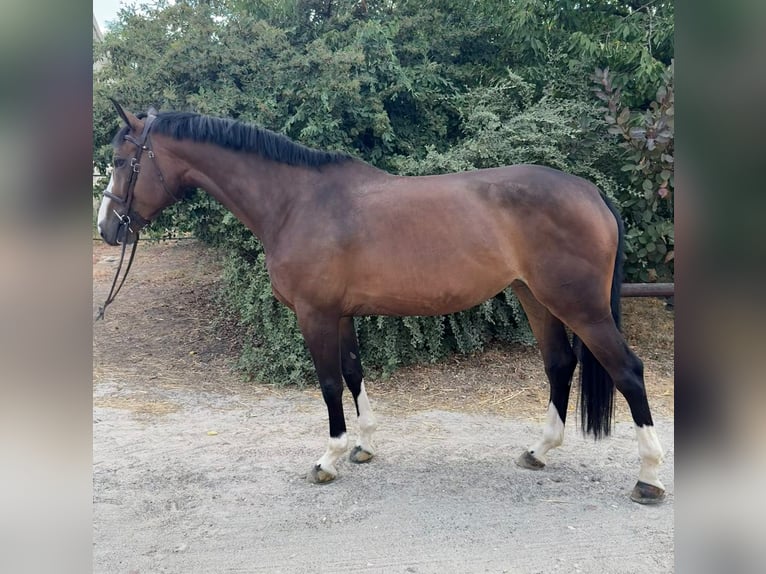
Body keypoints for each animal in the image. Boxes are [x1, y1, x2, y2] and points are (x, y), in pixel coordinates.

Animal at [97, 101, 665, 504]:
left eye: (123, 162)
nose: (107, 229)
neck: (296, 203)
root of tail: (591, 193)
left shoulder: (315, 314)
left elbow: (328, 383)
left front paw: (329, 458)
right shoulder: (341, 314)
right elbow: (352, 372)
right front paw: (364, 445)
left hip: (580, 307)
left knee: (628, 371)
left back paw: (649, 479)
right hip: (536, 297)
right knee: (559, 363)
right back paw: (539, 451)